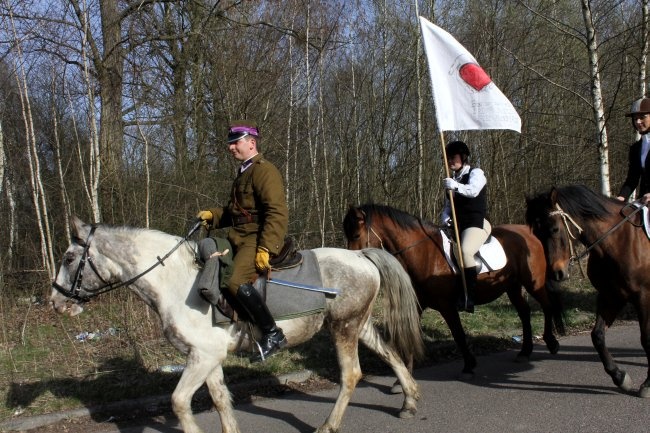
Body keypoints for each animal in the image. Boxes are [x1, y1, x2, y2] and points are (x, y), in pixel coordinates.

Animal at [52, 216, 426, 432]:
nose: (56, 303)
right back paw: (408, 402)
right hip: (357, 325)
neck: (176, 281)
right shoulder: (206, 357)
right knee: (390, 353)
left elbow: (179, 402)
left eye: (69, 258)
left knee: (351, 375)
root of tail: (361, 255)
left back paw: (328, 426)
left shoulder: (201, 357)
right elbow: (220, 400)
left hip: (344, 329)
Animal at [520, 184, 648, 396]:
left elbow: (646, 339)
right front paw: (619, 376)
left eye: (554, 229)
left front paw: (646, 384)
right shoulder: (611, 295)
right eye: (536, 234)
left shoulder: (642, 297)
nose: (556, 273)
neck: (617, 242)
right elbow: (597, 336)